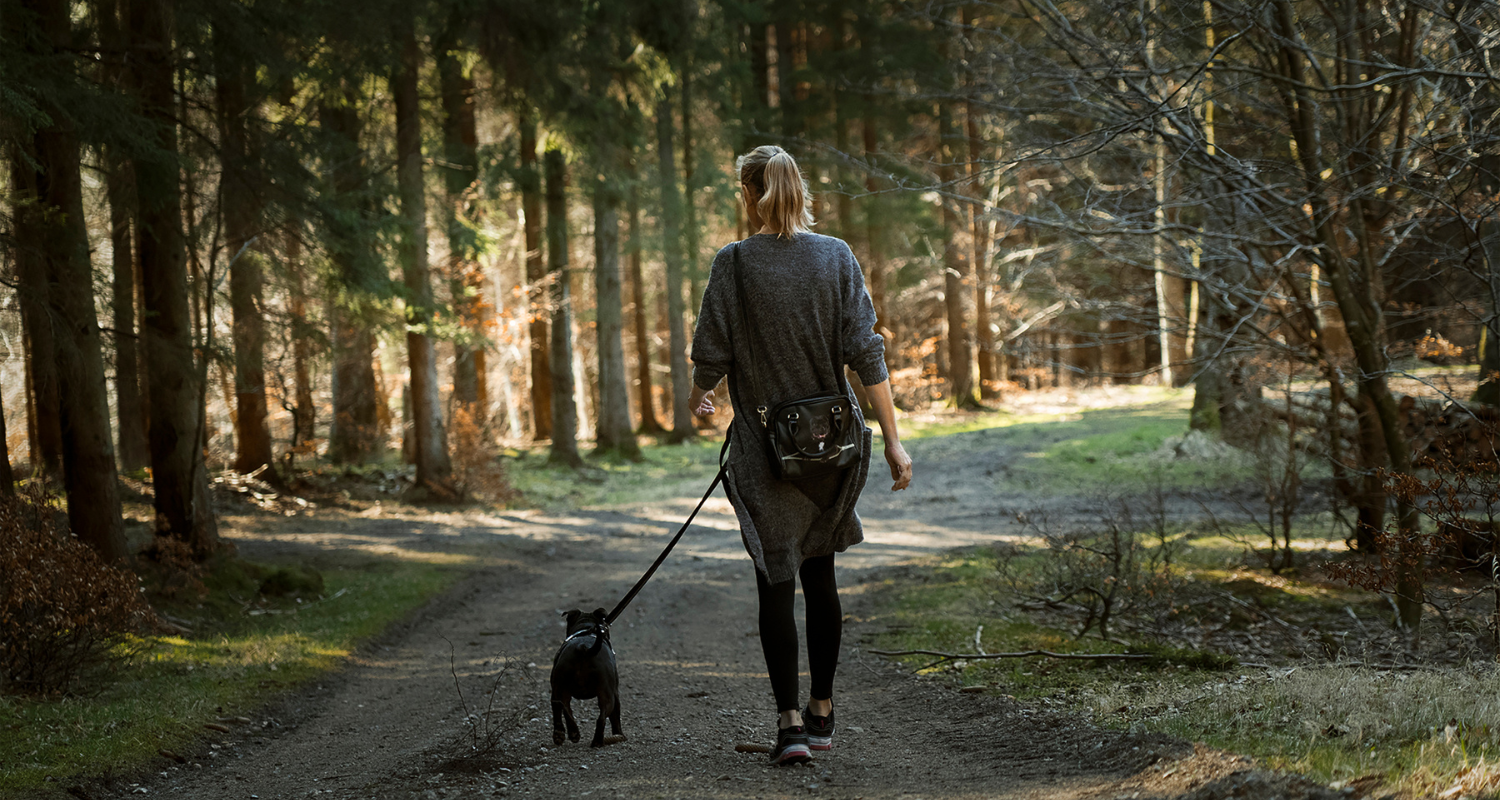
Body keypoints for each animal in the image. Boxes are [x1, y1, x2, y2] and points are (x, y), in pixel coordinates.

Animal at [552, 609, 621, 744]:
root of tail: (583, 648)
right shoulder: (615, 693)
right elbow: (616, 719)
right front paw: (619, 735)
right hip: (608, 695)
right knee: (602, 718)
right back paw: (597, 741)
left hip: (560, 689)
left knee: (564, 708)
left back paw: (571, 733)